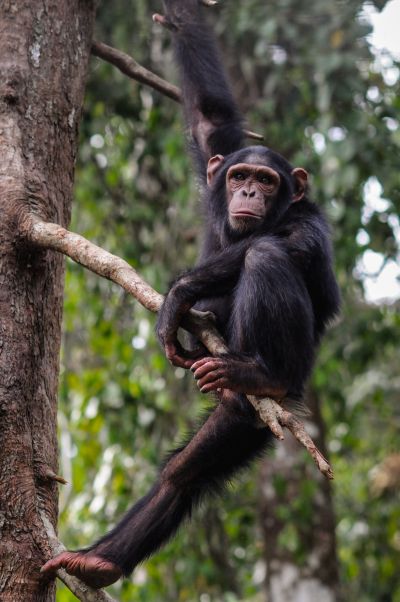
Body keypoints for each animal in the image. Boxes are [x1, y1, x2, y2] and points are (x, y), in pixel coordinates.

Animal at [42, 0, 340, 584]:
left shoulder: (308, 221)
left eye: (268, 182)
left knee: (265, 258)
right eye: (241, 175)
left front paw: (179, 297)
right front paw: (180, 17)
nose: (248, 192)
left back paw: (263, 374)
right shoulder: (217, 158)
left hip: (283, 389)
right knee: (186, 470)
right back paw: (100, 561)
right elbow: (211, 116)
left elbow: (284, 246)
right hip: (240, 424)